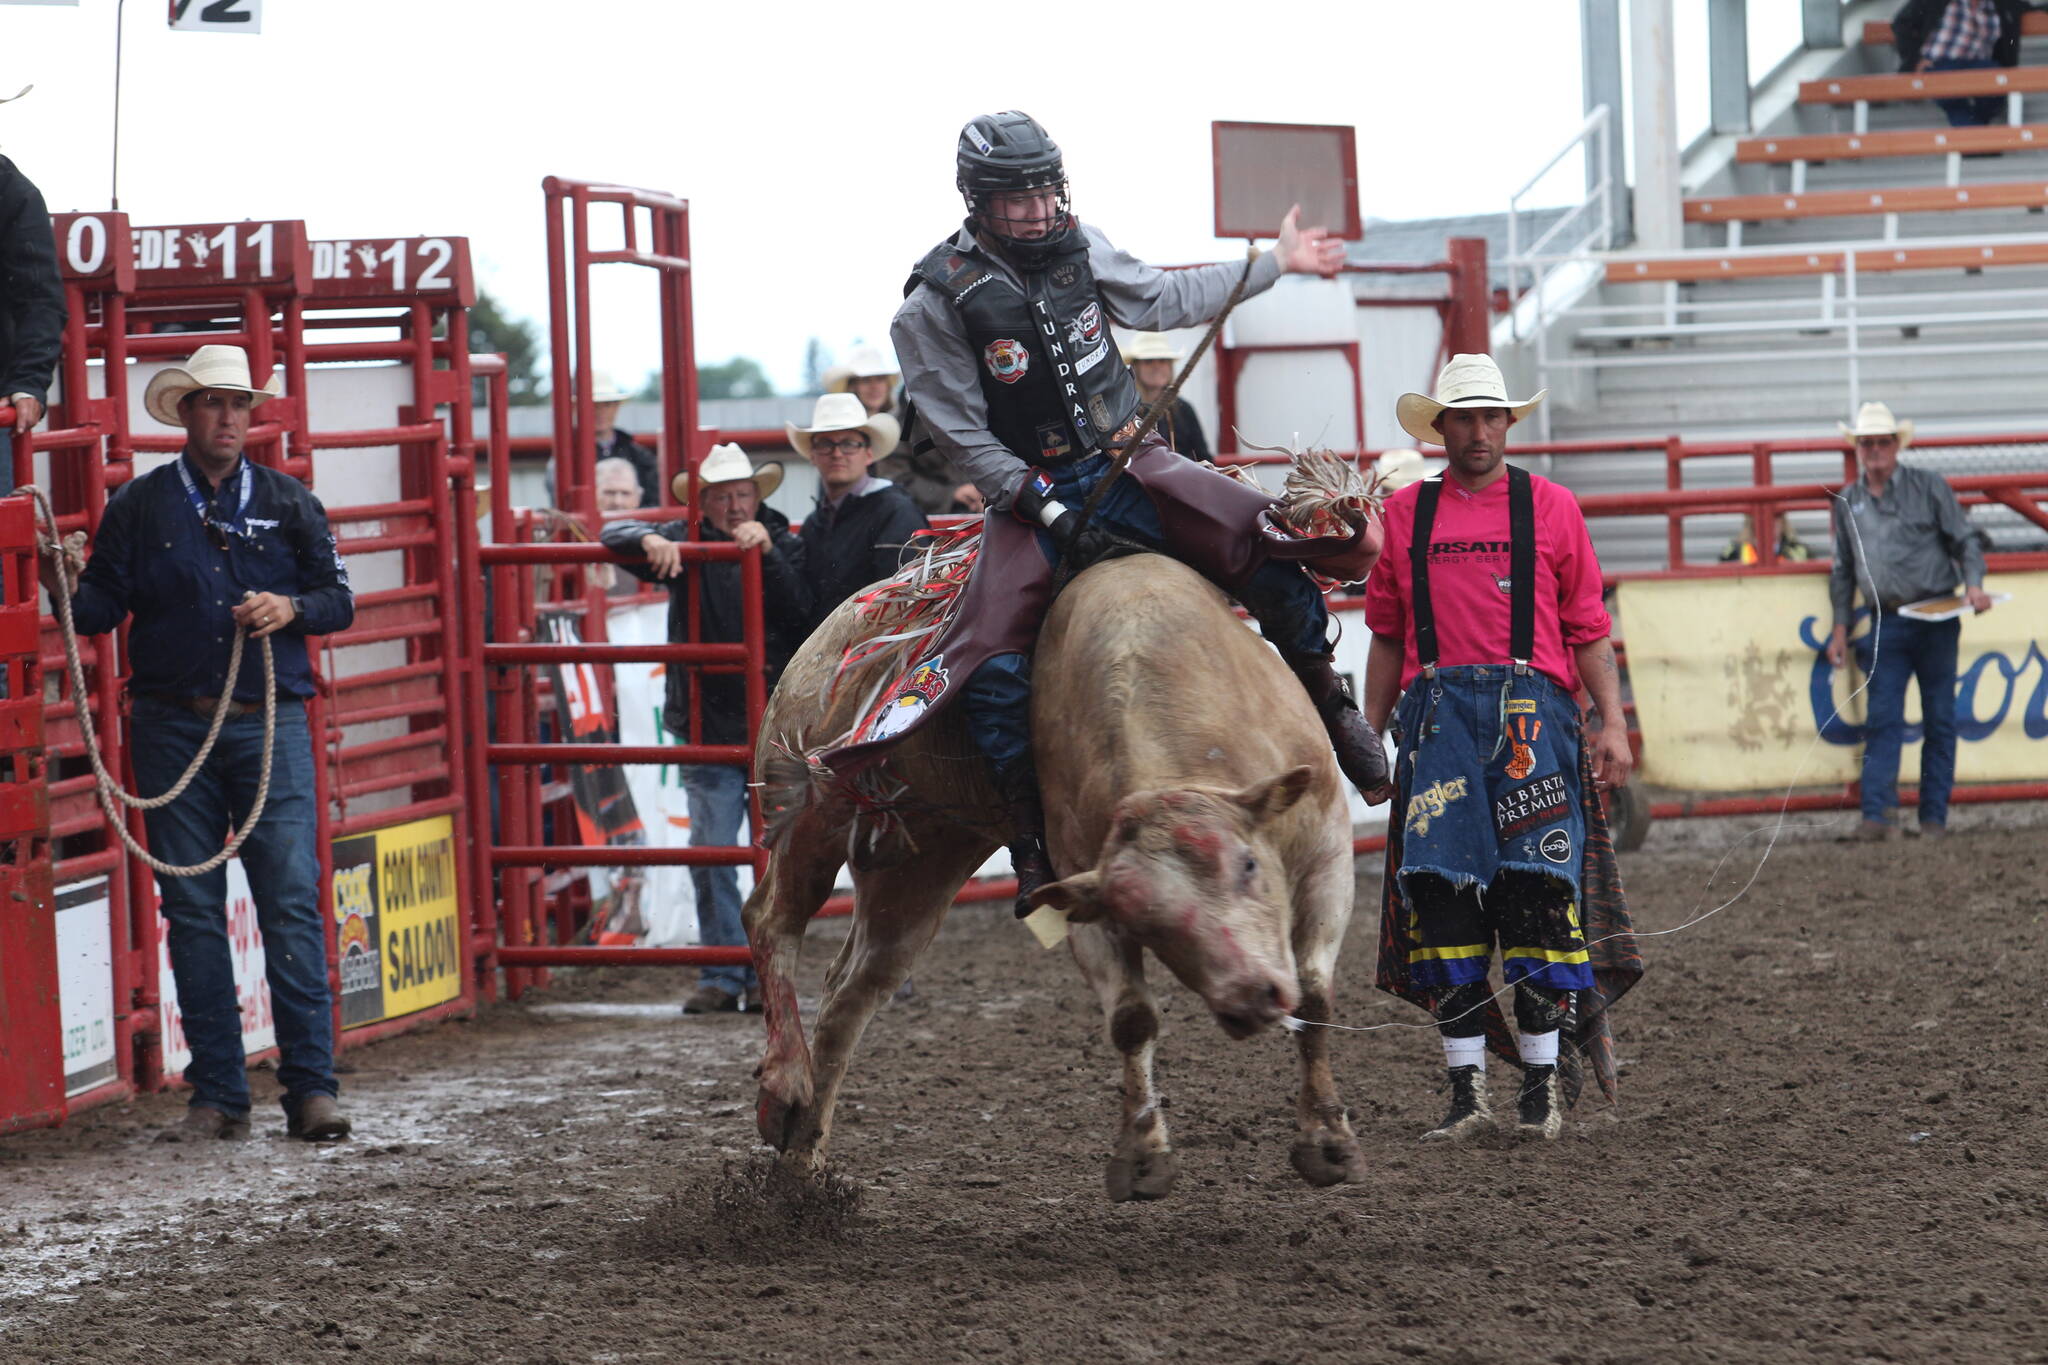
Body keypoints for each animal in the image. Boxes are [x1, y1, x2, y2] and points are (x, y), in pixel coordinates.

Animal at [745, 548, 1368, 1203]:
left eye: (1248, 864)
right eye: (1147, 922)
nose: (1250, 997)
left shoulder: (1327, 855)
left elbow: (1316, 993)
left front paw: (1329, 1143)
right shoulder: (1081, 893)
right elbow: (1132, 1019)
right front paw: (1142, 1158)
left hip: (920, 861)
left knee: (852, 992)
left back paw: (800, 1160)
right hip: (811, 807)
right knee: (772, 919)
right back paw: (783, 1085)